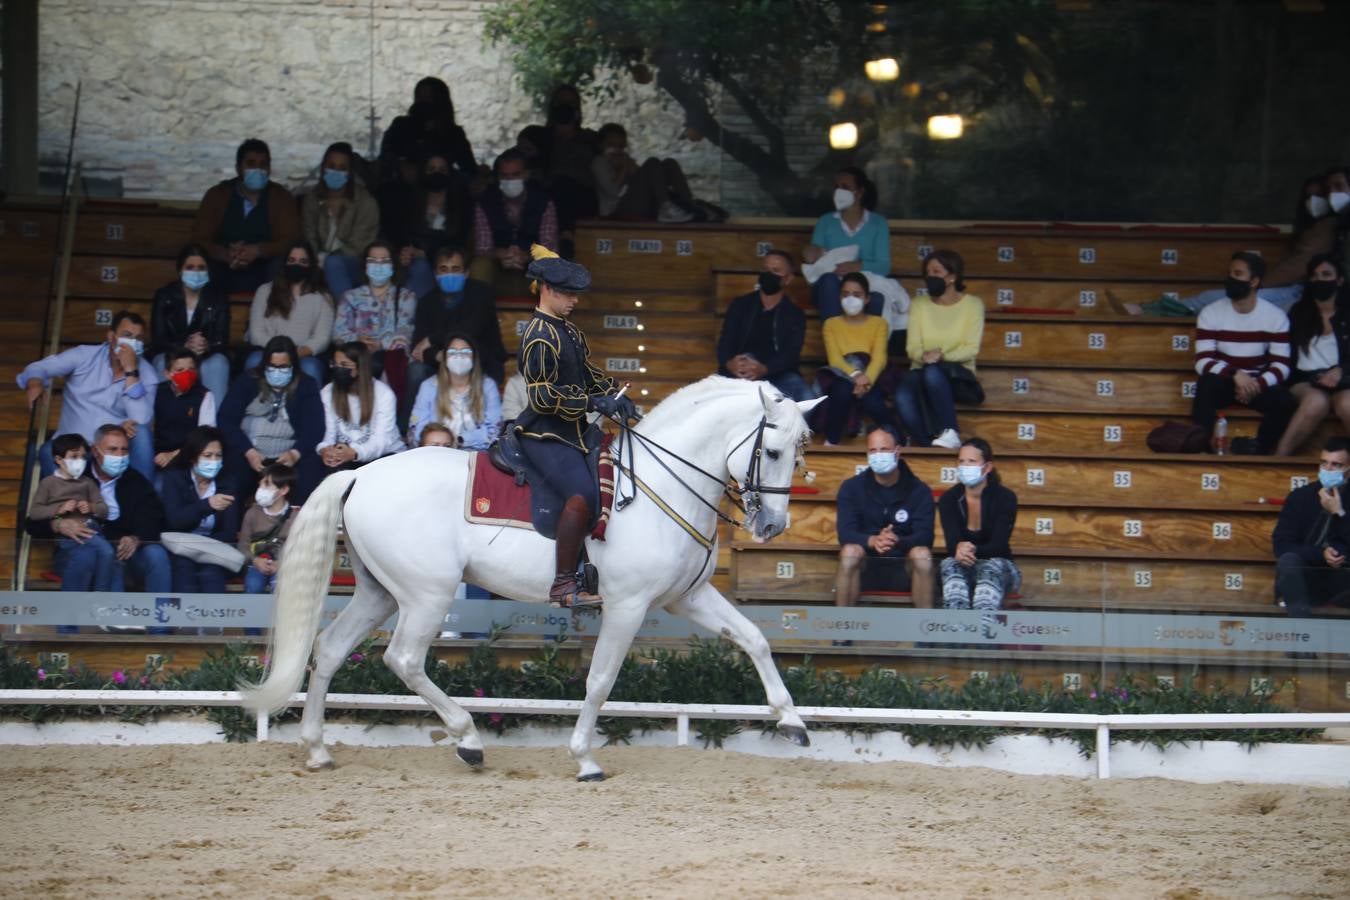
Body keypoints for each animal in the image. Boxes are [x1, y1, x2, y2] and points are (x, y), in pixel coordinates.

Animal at [245, 377, 820, 777]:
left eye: (799, 453)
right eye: (771, 451)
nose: (772, 525)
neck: (664, 483)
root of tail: (361, 473)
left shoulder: (690, 597)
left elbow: (754, 638)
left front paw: (791, 722)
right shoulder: (628, 606)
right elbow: (600, 680)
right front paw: (584, 759)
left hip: (380, 593)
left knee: (330, 649)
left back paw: (318, 750)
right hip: (426, 595)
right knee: (403, 659)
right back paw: (468, 740)